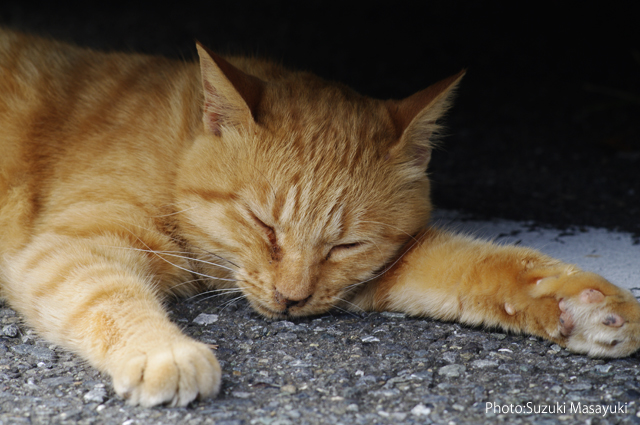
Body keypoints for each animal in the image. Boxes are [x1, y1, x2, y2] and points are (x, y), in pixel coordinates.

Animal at [1, 28, 640, 406]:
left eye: (345, 245)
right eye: (263, 223)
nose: (292, 299)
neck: (176, 151)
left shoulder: (381, 267)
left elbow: (481, 267)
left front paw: (585, 305)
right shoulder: (70, 249)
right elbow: (109, 297)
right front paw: (165, 352)